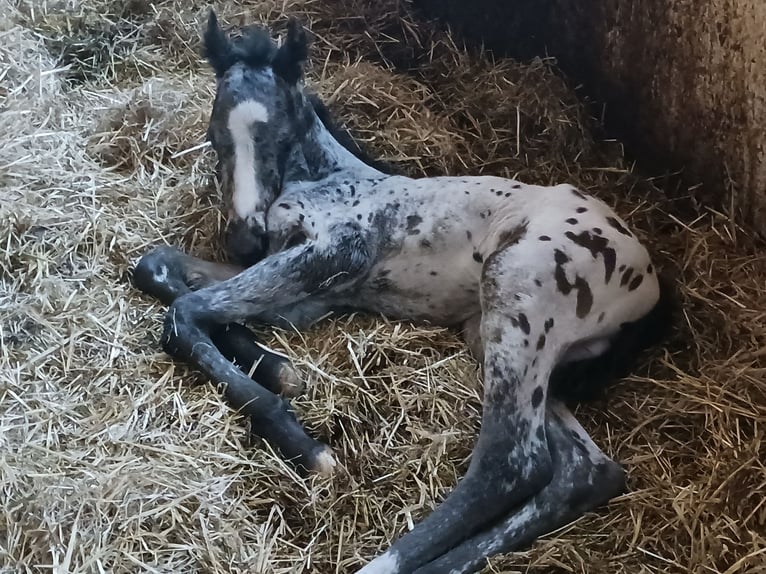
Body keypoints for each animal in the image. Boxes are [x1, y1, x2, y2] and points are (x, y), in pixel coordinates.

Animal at [135, 13, 676, 574]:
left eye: (276, 134)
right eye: (214, 135)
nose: (243, 239)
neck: (329, 177)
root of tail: (653, 284)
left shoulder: (333, 254)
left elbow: (185, 312)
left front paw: (305, 443)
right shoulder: (309, 295)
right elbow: (158, 268)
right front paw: (281, 370)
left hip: (517, 292)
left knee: (511, 463)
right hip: (502, 339)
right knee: (583, 471)